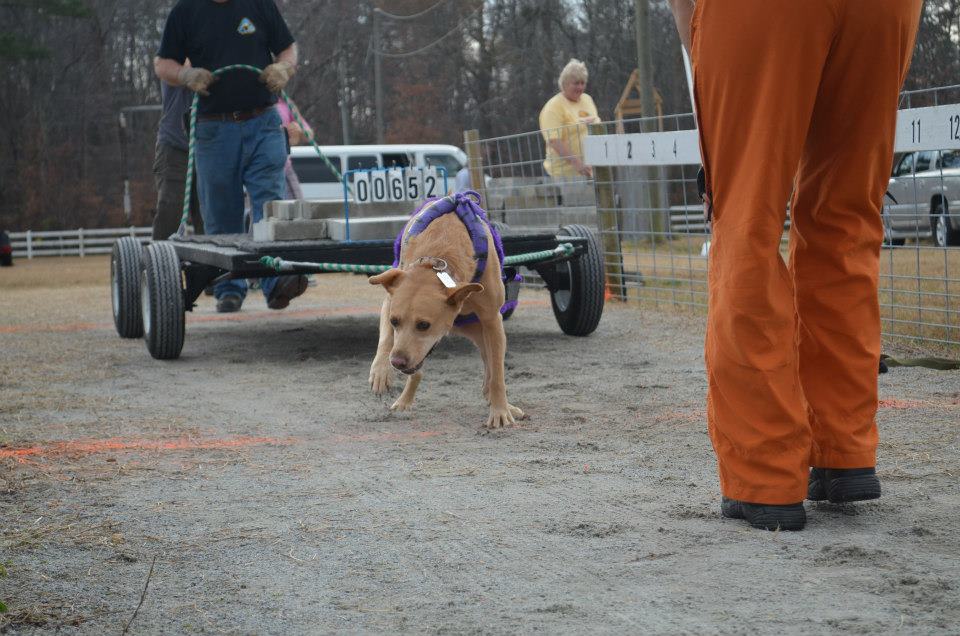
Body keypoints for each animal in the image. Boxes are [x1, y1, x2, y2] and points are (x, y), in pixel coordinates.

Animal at [370, 190, 524, 428]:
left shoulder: (492, 320)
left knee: (490, 365)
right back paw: (404, 401)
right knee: (418, 372)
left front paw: (500, 411)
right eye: (394, 321)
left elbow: (497, 374)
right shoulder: (390, 298)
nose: (396, 362)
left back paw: (500, 401)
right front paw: (381, 372)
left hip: (483, 333)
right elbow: (386, 339)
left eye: (424, 325)